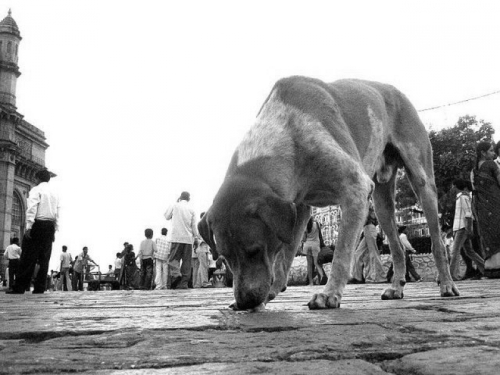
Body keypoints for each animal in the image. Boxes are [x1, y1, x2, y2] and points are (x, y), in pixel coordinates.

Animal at [197, 76, 458, 312]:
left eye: (255, 250)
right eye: (224, 257)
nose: (244, 303)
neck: (286, 128)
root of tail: (392, 89)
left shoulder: (355, 189)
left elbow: (341, 254)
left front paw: (329, 294)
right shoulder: (298, 208)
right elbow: (285, 256)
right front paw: (272, 291)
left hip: (422, 181)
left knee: (437, 242)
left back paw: (446, 284)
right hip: (381, 203)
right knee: (397, 246)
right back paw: (396, 287)